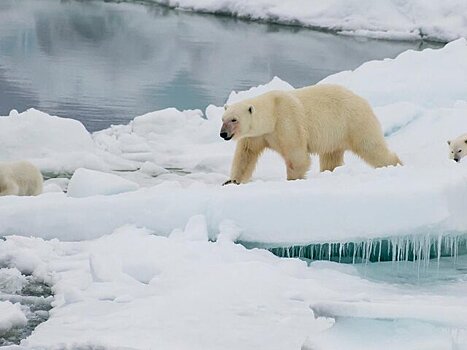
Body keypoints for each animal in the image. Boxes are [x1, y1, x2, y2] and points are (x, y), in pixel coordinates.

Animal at [221, 83, 404, 185]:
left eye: (234, 120)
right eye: (223, 119)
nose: (223, 134)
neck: (272, 112)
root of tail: (363, 100)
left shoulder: (287, 122)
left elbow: (297, 157)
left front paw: (292, 180)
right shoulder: (257, 135)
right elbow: (246, 155)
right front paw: (232, 181)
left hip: (354, 122)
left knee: (371, 147)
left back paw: (395, 164)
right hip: (335, 135)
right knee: (331, 157)